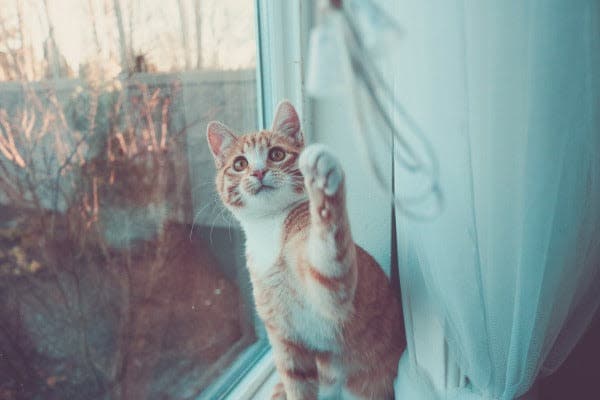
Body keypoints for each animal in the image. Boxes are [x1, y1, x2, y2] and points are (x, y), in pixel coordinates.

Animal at [207, 101, 408, 398]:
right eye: (240, 164)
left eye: (277, 154)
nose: (258, 172)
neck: (269, 228)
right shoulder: (286, 342)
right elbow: (297, 386)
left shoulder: (335, 292)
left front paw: (323, 178)